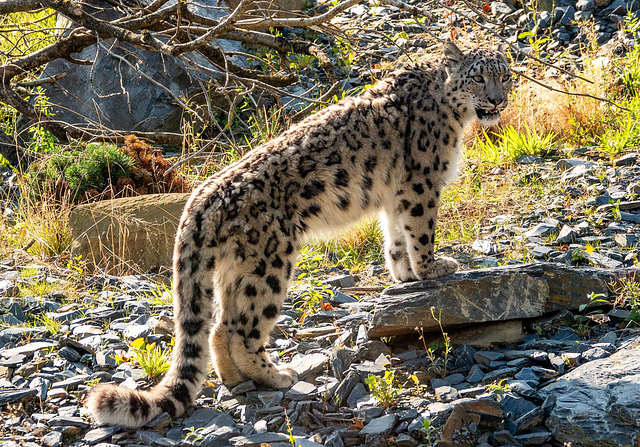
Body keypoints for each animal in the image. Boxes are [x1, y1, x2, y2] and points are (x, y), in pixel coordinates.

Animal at [87, 42, 512, 428]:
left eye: (505, 75)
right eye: (478, 77)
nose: (497, 99)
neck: (454, 115)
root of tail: (199, 201)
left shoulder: (396, 194)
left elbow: (395, 238)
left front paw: (405, 275)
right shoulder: (421, 183)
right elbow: (420, 231)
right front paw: (432, 268)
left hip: (234, 269)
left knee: (220, 326)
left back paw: (236, 379)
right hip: (269, 265)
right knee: (243, 329)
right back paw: (278, 376)